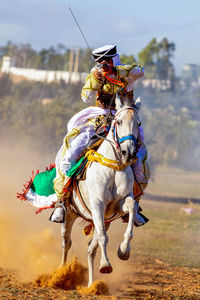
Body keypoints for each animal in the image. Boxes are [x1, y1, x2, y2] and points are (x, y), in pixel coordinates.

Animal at [60, 94, 141, 286]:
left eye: (139, 123)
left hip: (104, 220)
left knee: (91, 250)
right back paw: (60, 273)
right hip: (70, 214)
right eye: (118, 121)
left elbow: (132, 206)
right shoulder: (98, 205)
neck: (113, 167)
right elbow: (104, 237)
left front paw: (123, 250)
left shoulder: (117, 206)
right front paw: (105, 264)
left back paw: (91, 285)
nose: (129, 153)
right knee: (66, 243)